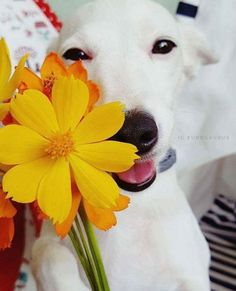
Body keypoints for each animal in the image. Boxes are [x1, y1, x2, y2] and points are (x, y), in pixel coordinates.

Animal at [30, 1, 216, 290]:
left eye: (164, 46)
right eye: (76, 54)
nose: (134, 132)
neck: (133, 204)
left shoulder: (191, 271)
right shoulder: (52, 239)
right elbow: (48, 252)